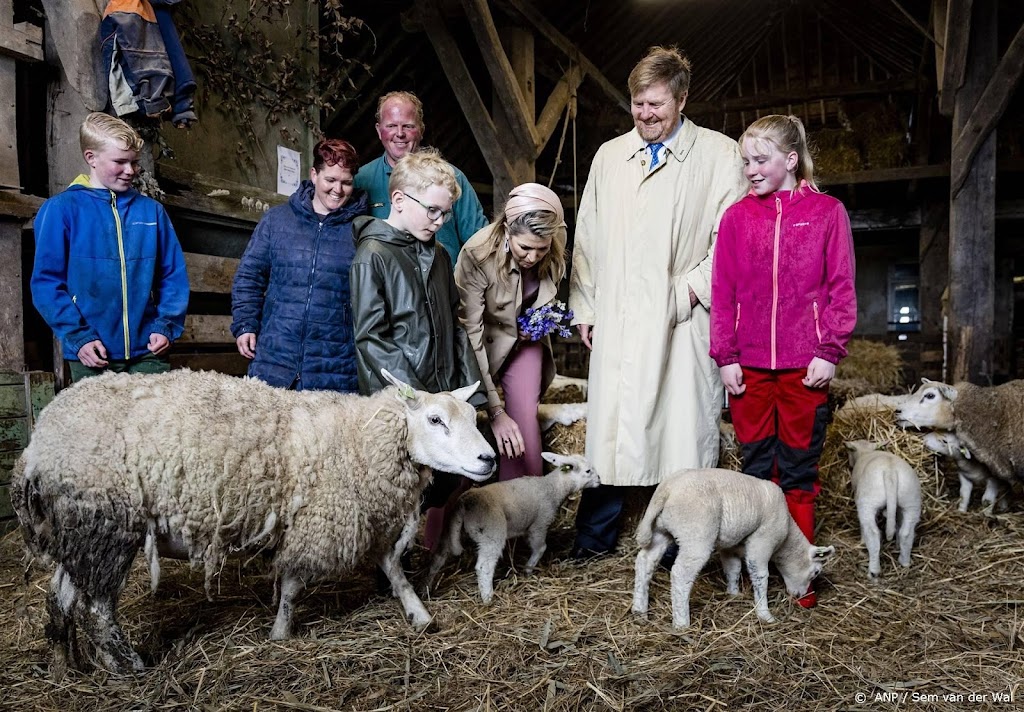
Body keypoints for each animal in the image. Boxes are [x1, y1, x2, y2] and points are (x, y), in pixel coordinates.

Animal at [12, 370, 495, 676]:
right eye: (435, 419)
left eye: (474, 419)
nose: (488, 459)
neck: (357, 437)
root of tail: (38, 444)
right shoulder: (316, 522)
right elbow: (294, 585)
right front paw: (280, 635)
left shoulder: (356, 515)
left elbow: (392, 569)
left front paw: (419, 614)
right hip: (107, 523)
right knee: (95, 608)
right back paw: (126, 666)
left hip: (78, 528)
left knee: (60, 599)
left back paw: (66, 664)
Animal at [423, 454, 598, 602]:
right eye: (588, 471)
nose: (599, 480)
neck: (552, 488)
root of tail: (464, 503)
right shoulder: (539, 524)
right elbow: (541, 548)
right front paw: (528, 569)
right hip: (492, 533)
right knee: (484, 566)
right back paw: (488, 598)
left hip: (450, 529)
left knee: (438, 557)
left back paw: (426, 588)